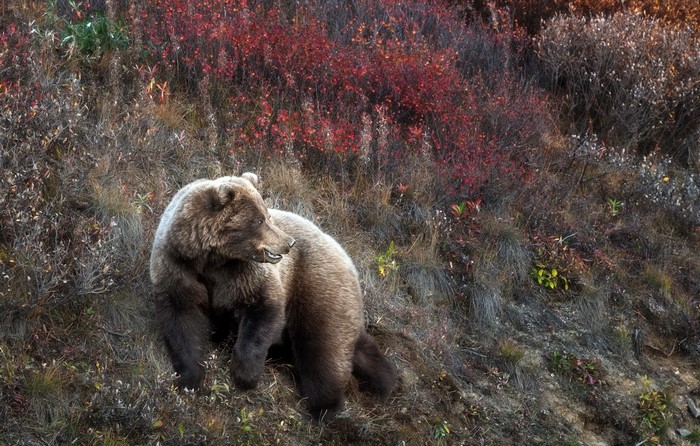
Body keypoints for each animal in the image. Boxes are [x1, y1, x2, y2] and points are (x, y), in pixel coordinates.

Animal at [150, 172, 397, 418]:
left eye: (267, 215)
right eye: (259, 220)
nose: (289, 243)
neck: (211, 260)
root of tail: (345, 255)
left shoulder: (243, 274)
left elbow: (262, 308)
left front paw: (245, 375)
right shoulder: (178, 268)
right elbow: (182, 320)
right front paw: (190, 378)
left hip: (317, 289)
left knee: (323, 349)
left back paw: (326, 407)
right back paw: (385, 380)